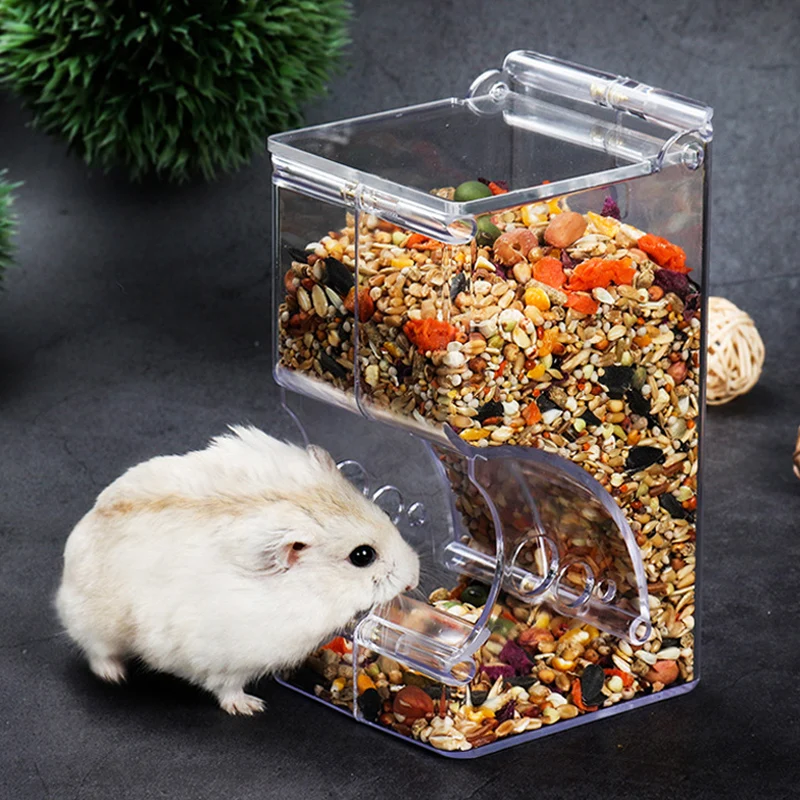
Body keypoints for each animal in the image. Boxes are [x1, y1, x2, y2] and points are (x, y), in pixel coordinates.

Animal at [56, 426, 419, 715]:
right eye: (362, 556)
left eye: (387, 516)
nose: (414, 578)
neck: (312, 591)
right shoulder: (227, 658)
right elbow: (226, 687)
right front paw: (251, 707)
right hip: (95, 623)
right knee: (95, 650)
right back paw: (113, 675)